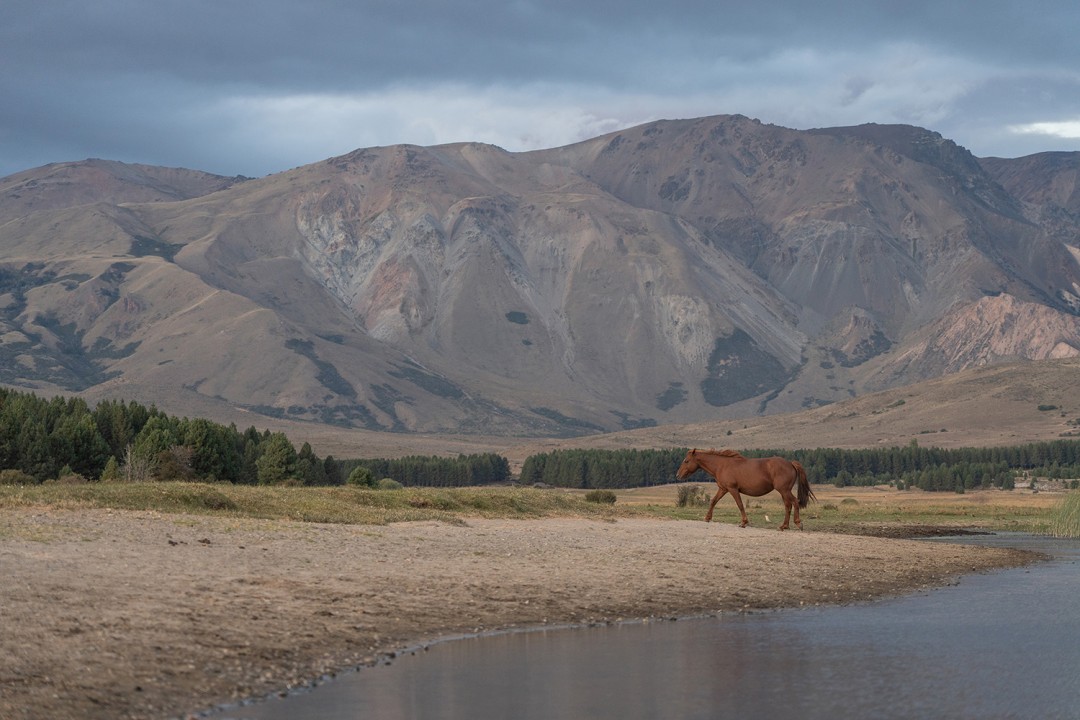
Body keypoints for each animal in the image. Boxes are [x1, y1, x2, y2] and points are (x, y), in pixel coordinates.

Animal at [676, 448, 815, 530]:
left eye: (686, 461)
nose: (678, 475)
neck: (722, 465)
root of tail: (790, 463)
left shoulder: (732, 489)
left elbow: (740, 505)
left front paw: (743, 522)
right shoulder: (723, 489)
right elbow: (713, 501)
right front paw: (707, 518)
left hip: (784, 490)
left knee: (794, 502)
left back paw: (798, 523)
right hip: (783, 491)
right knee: (788, 505)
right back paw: (784, 526)